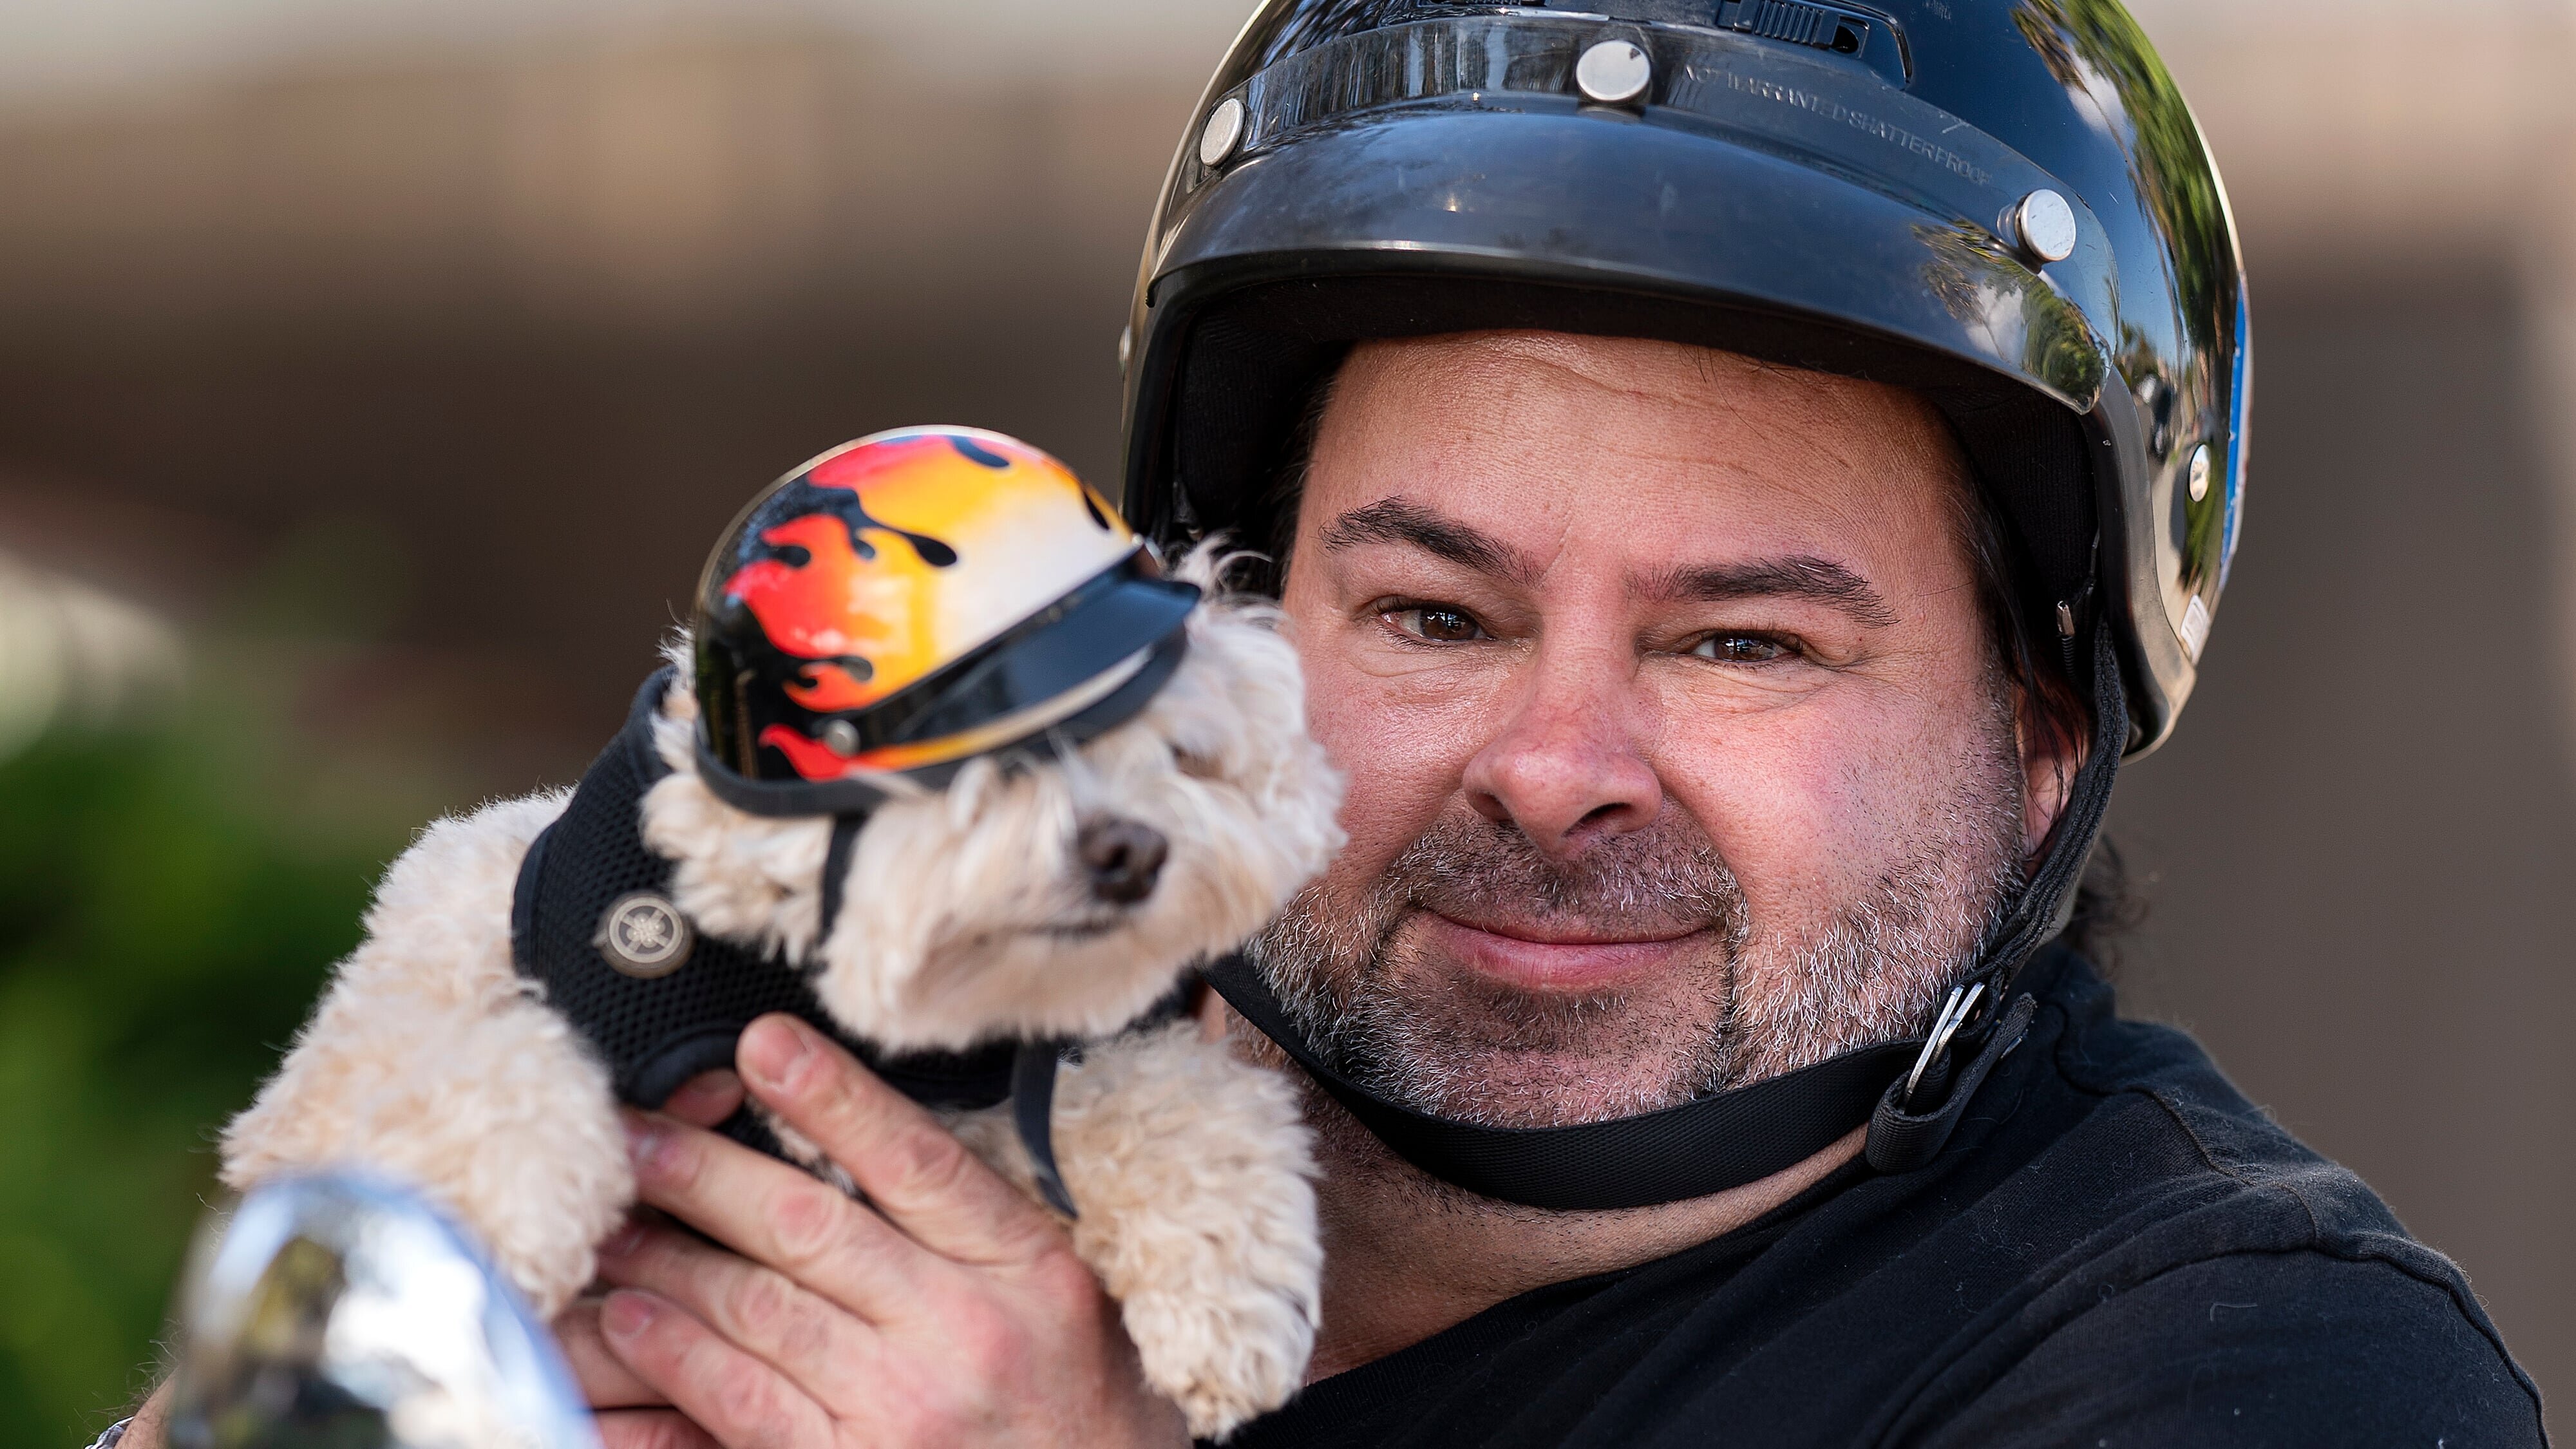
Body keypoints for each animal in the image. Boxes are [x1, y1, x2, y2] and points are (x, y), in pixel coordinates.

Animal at [222, 428, 1350, 1433]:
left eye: (1175, 750)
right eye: (999, 742)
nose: (1135, 851)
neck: (769, 962)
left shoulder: (969, 1099)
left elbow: (1165, 1100)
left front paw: (1228, 1288)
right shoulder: (341, 1063)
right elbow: (466, 1062)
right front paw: (492, 1218)